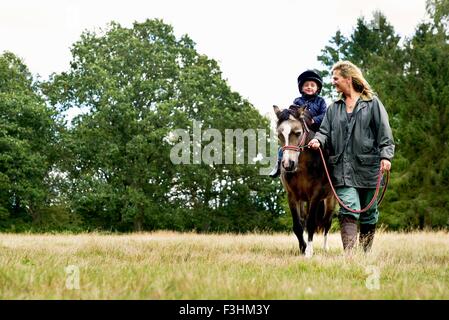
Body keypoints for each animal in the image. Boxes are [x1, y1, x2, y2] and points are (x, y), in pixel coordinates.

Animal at [272, 105, 334, 258]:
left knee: (327, 223)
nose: (288, 164)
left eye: (298, 133)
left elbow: (311, 223)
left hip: (330, 200)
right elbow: (298, 226)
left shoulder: (315, 196)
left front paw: (309, 252)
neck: (302, 167)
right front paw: (303, 247)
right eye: (279, 135)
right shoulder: (292, 196)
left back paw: (325, 248)